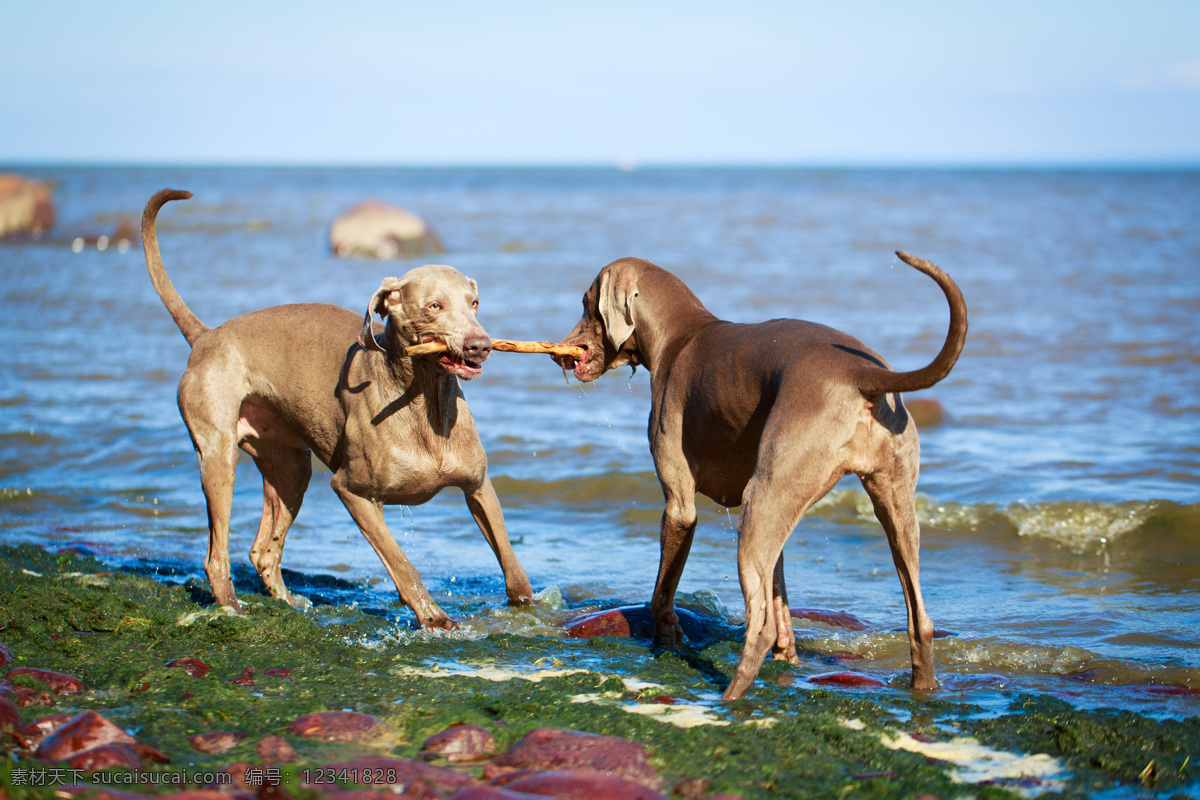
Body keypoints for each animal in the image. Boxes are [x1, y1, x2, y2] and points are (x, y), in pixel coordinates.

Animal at [142, 189, 532, 623]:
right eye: (434, 306)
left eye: (474, 302)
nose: (480, 345)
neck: (424, 402)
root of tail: (206, 336)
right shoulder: (352, 490)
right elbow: (402, 564)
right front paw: (435, 620)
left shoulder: (478, 486)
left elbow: (513, 567)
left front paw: (530, 612)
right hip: (218, 455)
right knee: (216, 555)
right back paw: (232, 610)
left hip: (290, 467)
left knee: (263, 552)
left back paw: (291, 603)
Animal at [559, 253, 964, 695]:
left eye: (586, 302)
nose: (560, 352)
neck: (681, 333)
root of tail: (862, 374)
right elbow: (779, 591)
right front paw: (788, 657)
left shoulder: (680, 506)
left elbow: (662, 594)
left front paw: (667, 638)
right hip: (881, 503)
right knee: (920, 620)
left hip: (763, 498)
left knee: (759, 629)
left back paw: (728, 698)